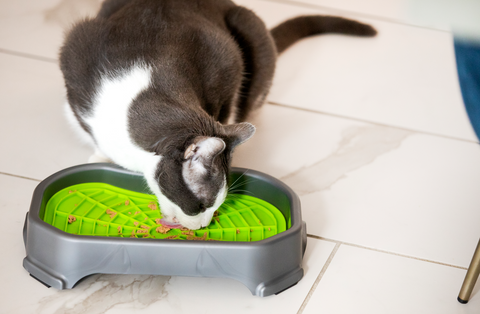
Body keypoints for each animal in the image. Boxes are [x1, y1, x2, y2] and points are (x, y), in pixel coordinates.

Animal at [59, 0, 376, 229]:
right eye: (200, 205)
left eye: (216, 205)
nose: (203, 226)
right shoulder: (76, 58)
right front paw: (100, 156)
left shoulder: (227, 61)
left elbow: (227, 106)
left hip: (251, 29)